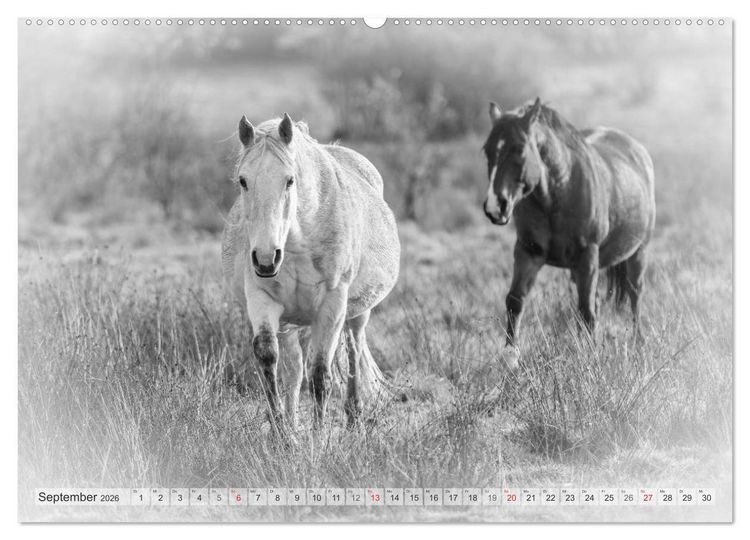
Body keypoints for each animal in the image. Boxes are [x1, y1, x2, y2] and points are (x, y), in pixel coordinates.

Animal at [221, 113, 400, 429]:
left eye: (290, 180)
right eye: (243, 180)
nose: (266, 259)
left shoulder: (332, 306)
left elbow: (320, 376)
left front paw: (319, 439)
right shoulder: (262, 299)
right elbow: (269, 360)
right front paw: (283, 434)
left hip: (357, 313)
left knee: (353, 352)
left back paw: (354, 416)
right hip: (290, 322)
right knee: (294, 371)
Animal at [482, 98, 655, 369]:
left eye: (519, 149)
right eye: (487, 150)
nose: (494, 207)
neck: (557, 194)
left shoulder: (588, 256)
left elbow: (586, 311)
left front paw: (590, 356)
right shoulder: (528, 253)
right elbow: (515, 300)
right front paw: (510, 357)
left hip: (638, 252)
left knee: (634, 293)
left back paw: (638, 341)